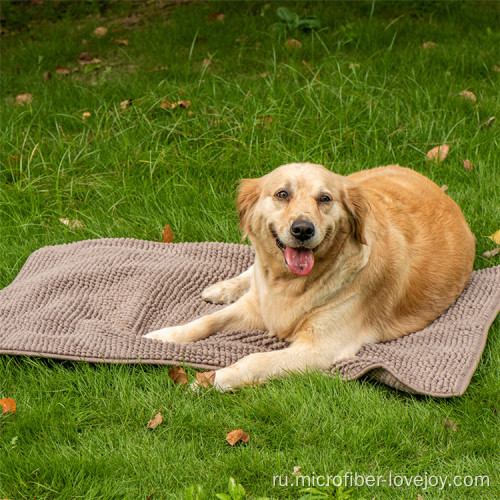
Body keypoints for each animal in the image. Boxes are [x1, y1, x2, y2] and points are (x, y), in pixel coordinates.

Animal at [144, 164, 472, 390]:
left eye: (324, 198)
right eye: (282, 194)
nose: (303, 229)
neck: (290, 284)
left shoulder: (320, 347)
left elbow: (256, 359)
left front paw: (213, 378)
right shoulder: (258, 306)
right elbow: (206, 321)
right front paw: (164, 336)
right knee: (250, 272)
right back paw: (222, 288)